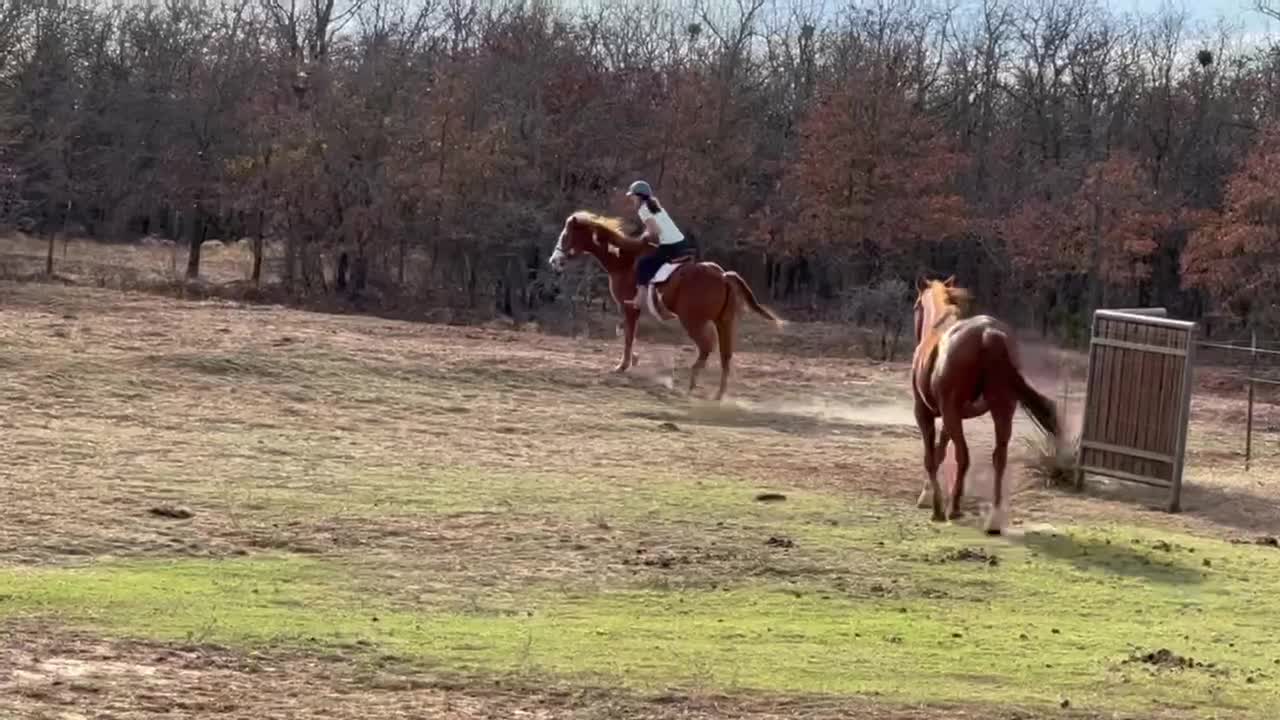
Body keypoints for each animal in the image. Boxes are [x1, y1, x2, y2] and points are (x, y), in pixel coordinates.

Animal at [911, 274, 1059, 532]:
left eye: (915, 306)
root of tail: (989, 333)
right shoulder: (951, 418)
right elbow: (939, 453)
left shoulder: (925, 413)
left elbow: (931, 457)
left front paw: (934, 505)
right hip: (1002, 410)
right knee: (999, 458)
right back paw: (994, 519)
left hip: (953, 413)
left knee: (964, 456)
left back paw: (954, 509)